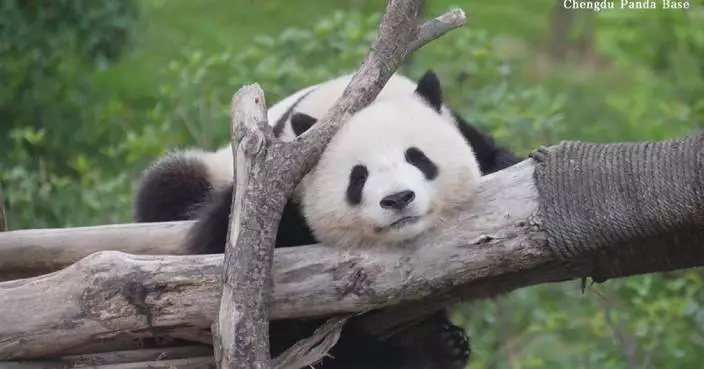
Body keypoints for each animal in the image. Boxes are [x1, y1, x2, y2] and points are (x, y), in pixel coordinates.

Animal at [133, 69, 524, 368]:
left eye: (417, 157)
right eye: (358, 177)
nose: (398, 199)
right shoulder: (275, 205)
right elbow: (288, 331)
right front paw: (425, 352)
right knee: (166, 188)